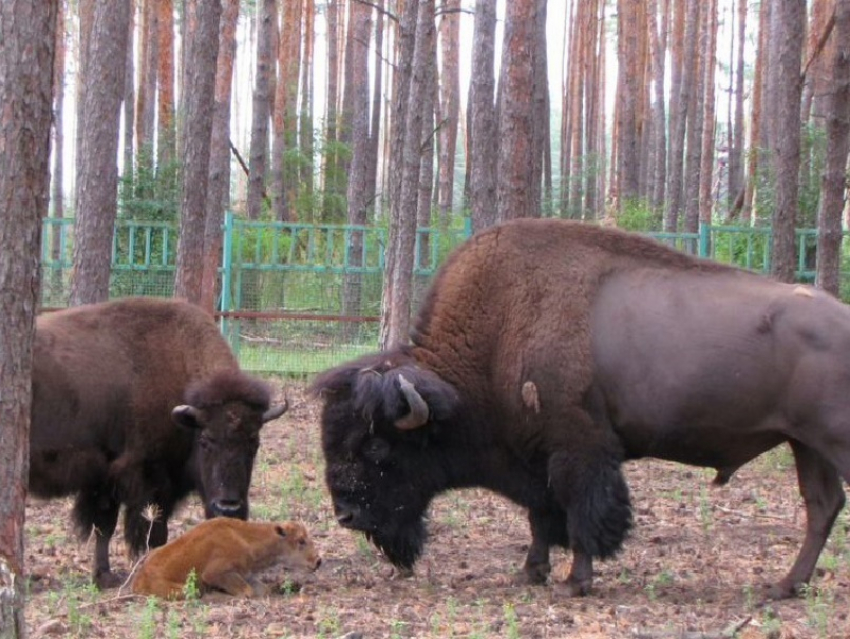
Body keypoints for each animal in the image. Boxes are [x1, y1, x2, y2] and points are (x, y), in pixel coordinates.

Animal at [30, 298, 288, 588]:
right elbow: (152, 533)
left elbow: (104, 527)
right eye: (206, 440)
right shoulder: (148, 480)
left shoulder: (106, 479)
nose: (228, 507)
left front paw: (104, 576)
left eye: (254, 442)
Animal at [131, 516, 320, 604]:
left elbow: (263, 589)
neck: (246, 538)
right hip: (183, 588)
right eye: (301, 541)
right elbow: (247, 592)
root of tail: (138, 579)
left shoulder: (246, 574)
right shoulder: (216, 573)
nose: (318, 561)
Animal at [312, 219, 848, 600]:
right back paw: (783, 587)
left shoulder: (579, 449)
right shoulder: (535, 456)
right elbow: (541, 515)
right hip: (805, 445)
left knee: (825, 505)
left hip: (831, 442)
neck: (499, 336)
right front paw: (530, 572)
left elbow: (580, 511)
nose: (346, 515)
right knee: (822, 505)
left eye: (377, 446)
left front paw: (575, 581)